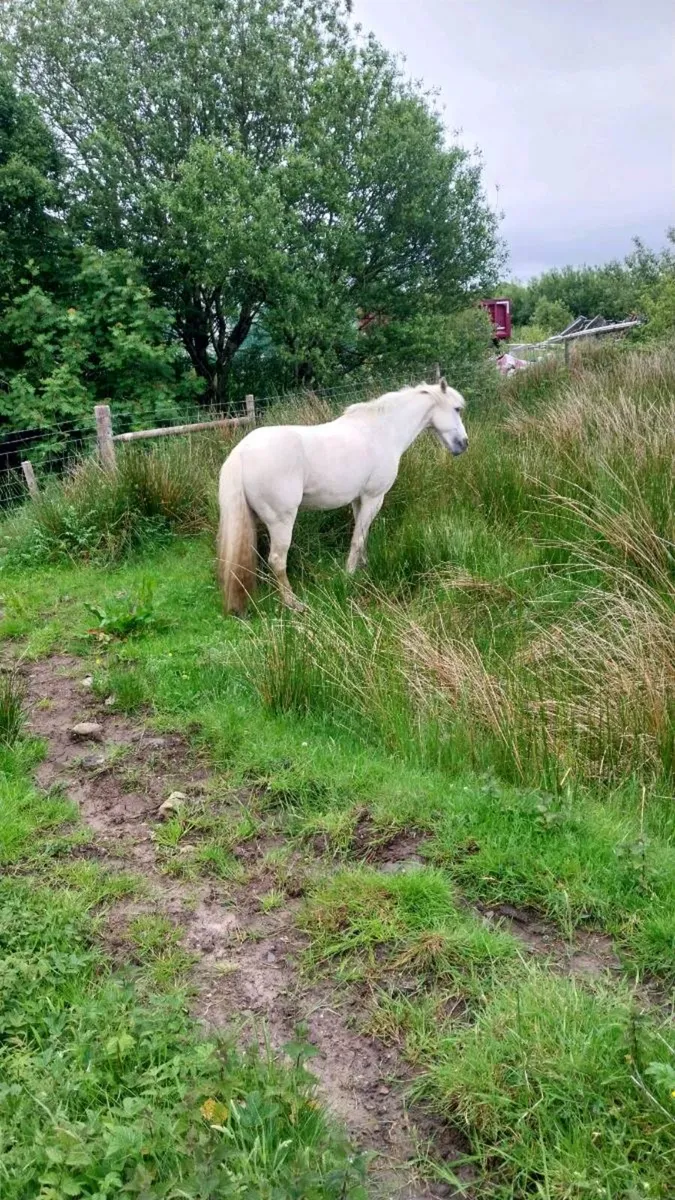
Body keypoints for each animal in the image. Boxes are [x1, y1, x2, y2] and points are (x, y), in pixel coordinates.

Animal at [216, 377, 468, 614]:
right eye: (457, 409)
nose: (463, 444)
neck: (382, 430)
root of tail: (241, 452)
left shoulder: (359, 500)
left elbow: (362, 534)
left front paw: (363, 567)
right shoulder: (374, 498)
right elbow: (357, 539)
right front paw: (349, 575)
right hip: (281, 521)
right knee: (277, 560)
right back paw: (294, 604)